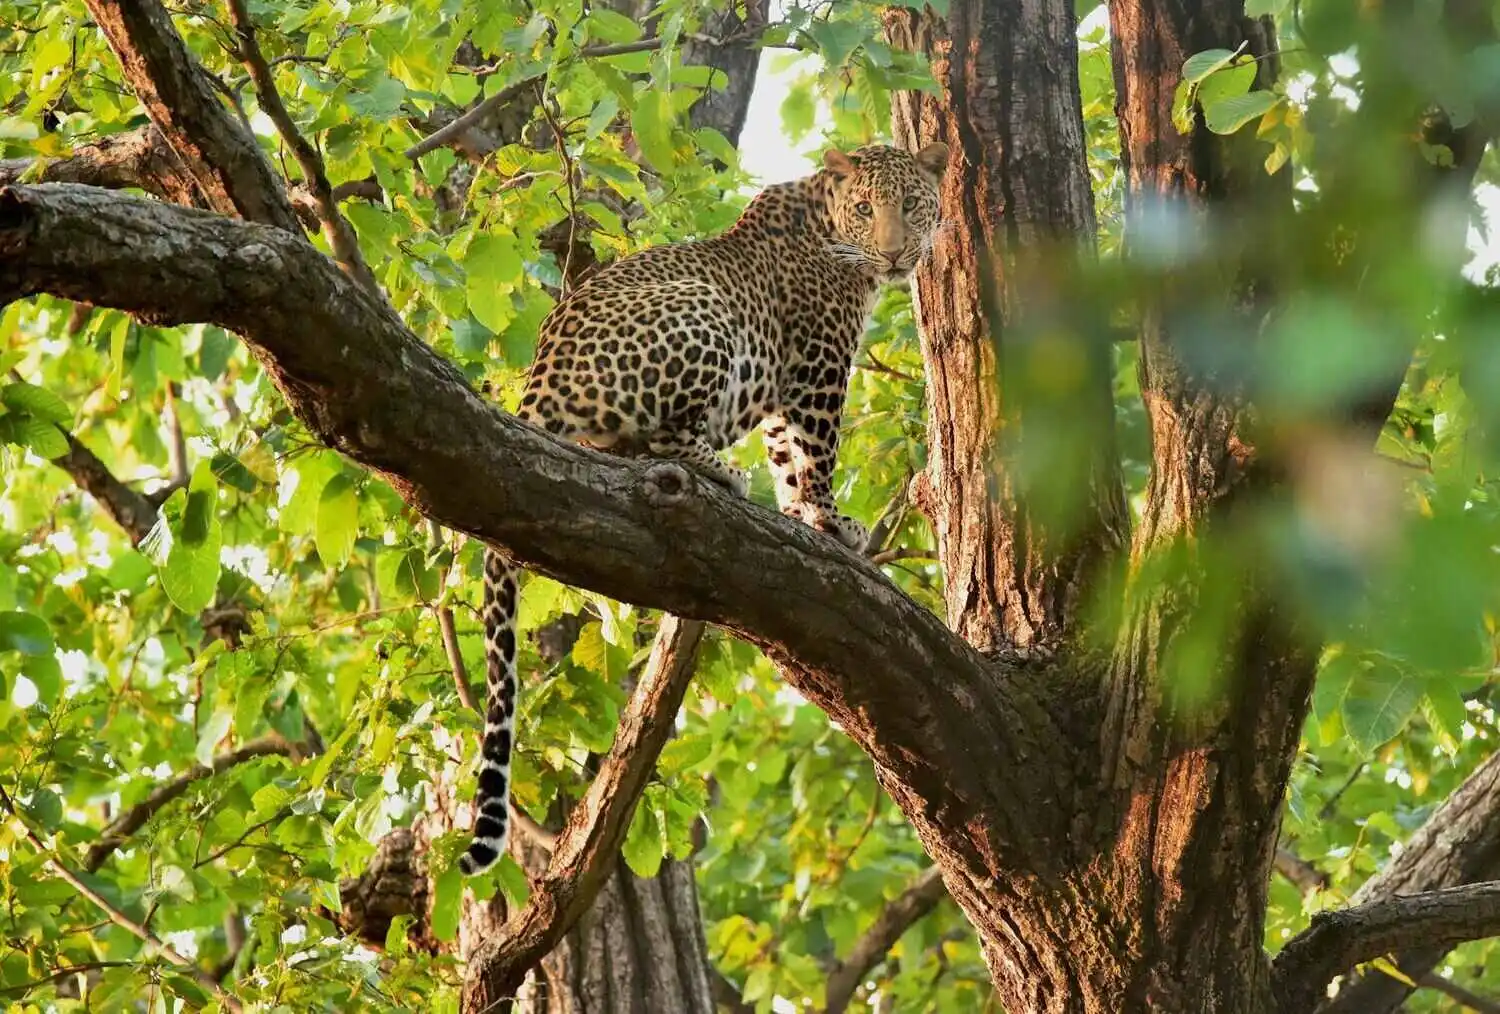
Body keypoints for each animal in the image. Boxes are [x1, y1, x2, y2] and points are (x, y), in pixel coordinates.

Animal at [456, 138, 948, 876]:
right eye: (866, 209)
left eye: (913, 205)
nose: (894, 255)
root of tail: (542, 375)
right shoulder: (819, 365)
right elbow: (817, 453)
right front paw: (830, 520)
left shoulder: (783, 388)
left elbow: (788, 460)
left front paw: (802, 517)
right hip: (701, 308)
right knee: (660, 440)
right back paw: (720, 471)